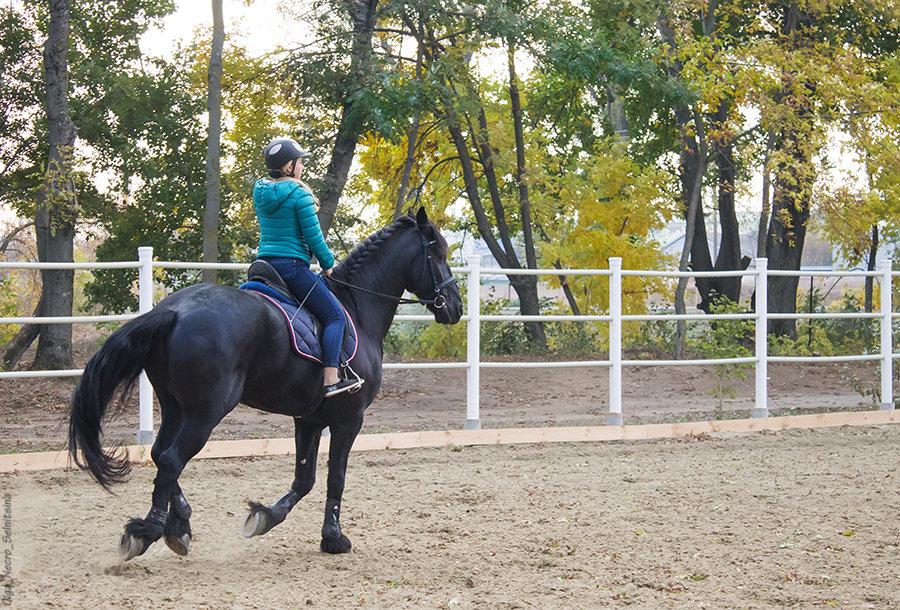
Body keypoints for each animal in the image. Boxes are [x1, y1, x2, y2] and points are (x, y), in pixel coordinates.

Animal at [68, 209, 464, 560]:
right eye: (439, 254)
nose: (456, 307)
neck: (356, 307)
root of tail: (174, 310)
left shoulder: (309, 419)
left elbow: (304, 480)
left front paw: (265, 517)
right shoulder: (349, 419)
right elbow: (335, 477)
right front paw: (334, 538)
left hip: (176, 407)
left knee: (158, 453)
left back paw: (179, 525)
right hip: (206, 413)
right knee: (170, 459)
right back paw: (149, 530)